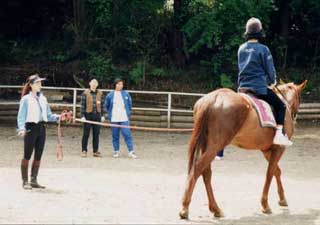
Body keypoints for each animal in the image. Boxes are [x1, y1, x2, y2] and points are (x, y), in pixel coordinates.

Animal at [180, 80, 308, 220]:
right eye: (299, 98)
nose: (295, 117)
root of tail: (212, 99)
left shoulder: (266, 150)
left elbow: (276, 171)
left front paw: (282, 199)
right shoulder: (278, 148)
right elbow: (270, 173)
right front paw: (265, 205)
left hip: (207, 144)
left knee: (206, 173)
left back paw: (215, 209)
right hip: (214, 146)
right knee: (197, 169)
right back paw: (185, 208)